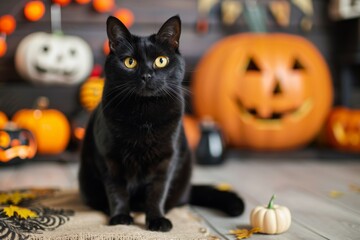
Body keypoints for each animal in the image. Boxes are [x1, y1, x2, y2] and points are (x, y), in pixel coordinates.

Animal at [79, 15, 245, 232]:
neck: (144, 115)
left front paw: (157, 220)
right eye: (130, 62)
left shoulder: (166, 159)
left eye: (161, 61)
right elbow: (117, 191)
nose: (147, 75)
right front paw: (120, 218)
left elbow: (157, 192)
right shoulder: (109, 159)